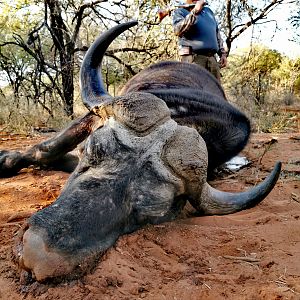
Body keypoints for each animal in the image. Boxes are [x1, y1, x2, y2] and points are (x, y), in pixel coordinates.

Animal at [0, 21, 282, 282]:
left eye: (150, 209)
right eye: (92, 150)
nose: (34, 254)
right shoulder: (90, 118)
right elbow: (46, 148)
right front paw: (8, 160)